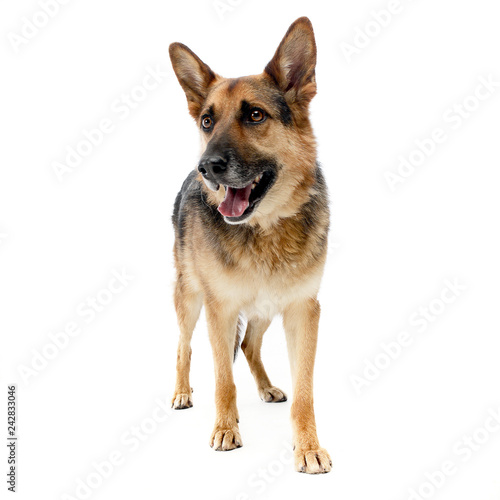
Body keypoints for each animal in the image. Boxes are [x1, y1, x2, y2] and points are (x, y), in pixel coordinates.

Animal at [169, 17, 332, 474]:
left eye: (255, 115)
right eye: (207, 121)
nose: (207, 167)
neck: (264, 230)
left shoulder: (302, 311)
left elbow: (305, 392)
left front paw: (307, 445)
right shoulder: (220, 309)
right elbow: (223, 380)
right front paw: (225, 428)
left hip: (264, 309)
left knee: (248, 344)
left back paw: (266, 387)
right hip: (190, 300)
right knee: (184, 346)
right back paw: (183, 392)